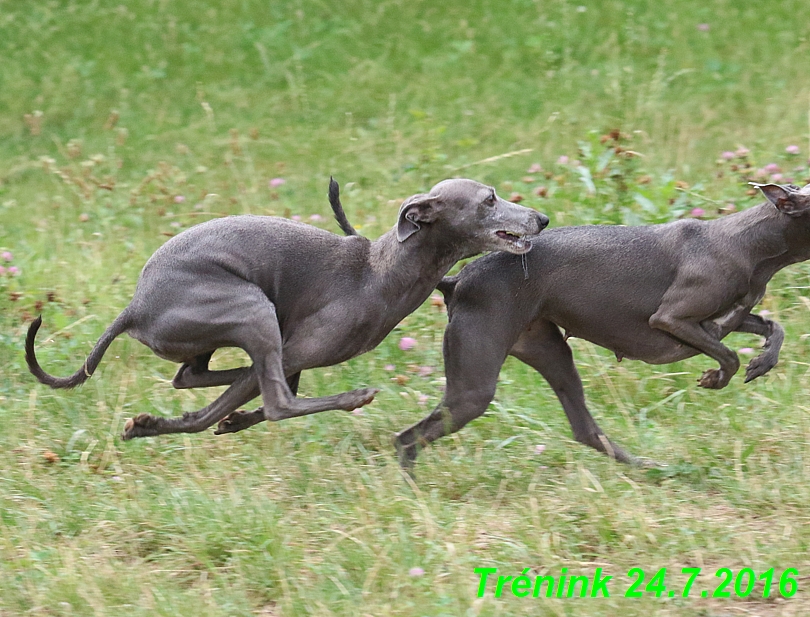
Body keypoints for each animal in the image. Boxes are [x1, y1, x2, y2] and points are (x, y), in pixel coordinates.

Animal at [25, 178, 548, 438]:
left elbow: (227, 403)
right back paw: (350, 397)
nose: (542, 218)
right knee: (275, 400)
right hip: (250, 307)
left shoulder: (293, 352)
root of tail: (134, 307)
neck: (379, 271)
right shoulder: (296, 350)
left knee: (195, 377)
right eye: (490, 199)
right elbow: (234, 407)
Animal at [394, 182, 808, 466]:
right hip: (475, 388)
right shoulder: (672, 319)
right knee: (407, 439)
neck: (748, 243)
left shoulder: (722, 321)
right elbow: (729, 356)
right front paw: (716, 378)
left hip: (552, 354)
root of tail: (457, 279)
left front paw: (762, 362)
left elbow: (772, 328)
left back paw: (646, 468)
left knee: (585, 430)